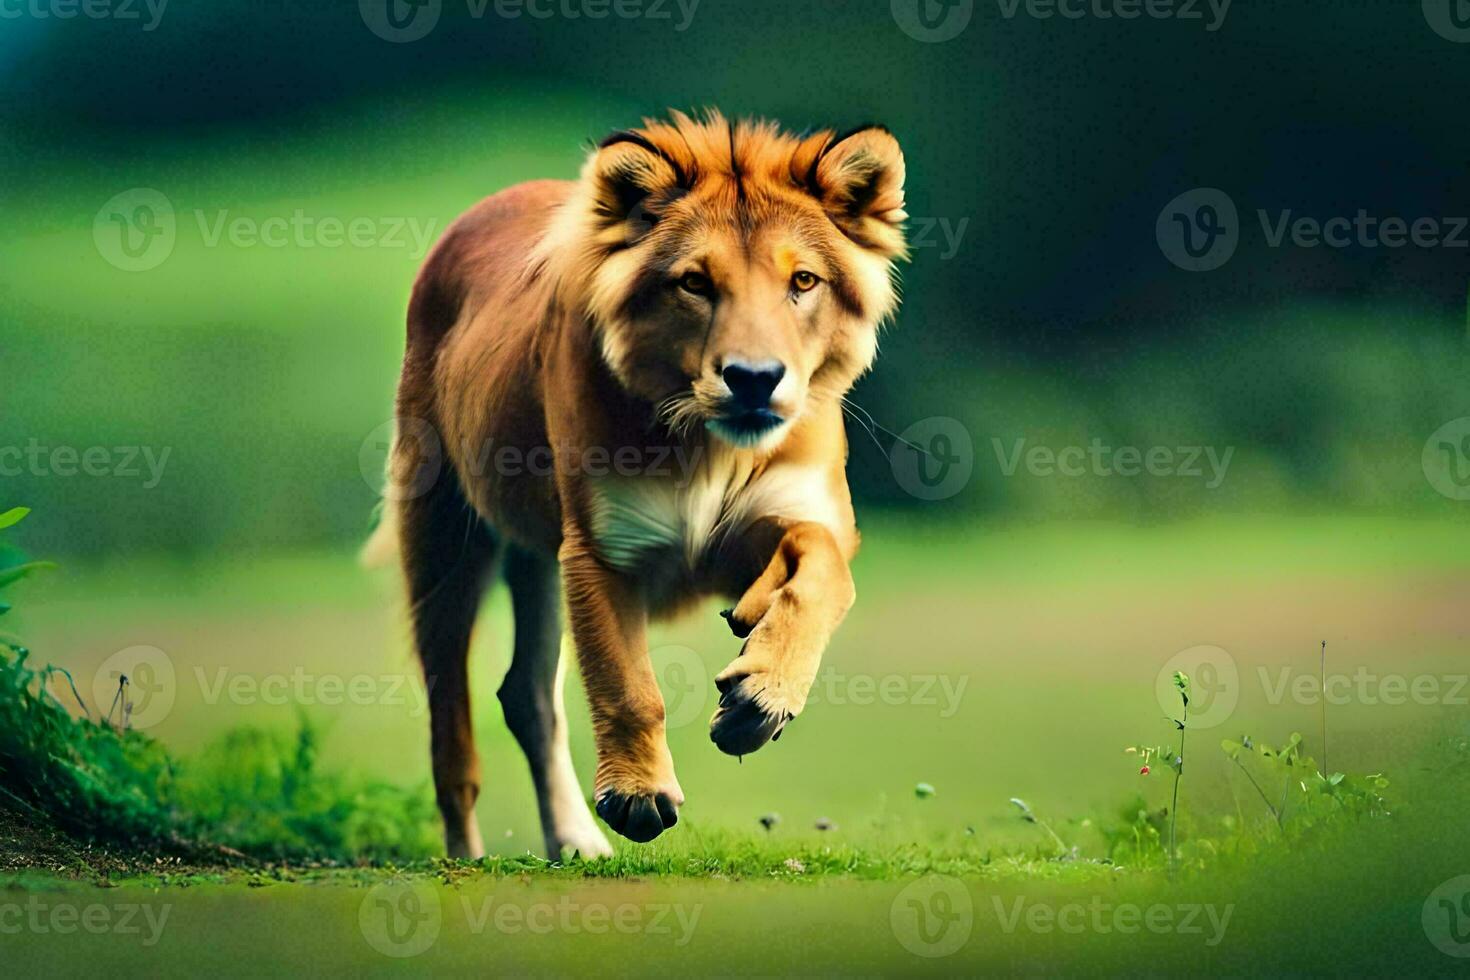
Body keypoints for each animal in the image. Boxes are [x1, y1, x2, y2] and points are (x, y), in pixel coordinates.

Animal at [376, 109, 905, 858]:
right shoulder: (602, 550)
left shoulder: (784, 520)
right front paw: (636, 798)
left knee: (525, 695)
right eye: (695, 283)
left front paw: (757, 696)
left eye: (803, 282)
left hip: (538, 560)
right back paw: (469, 857)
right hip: (446, 541)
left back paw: (574, 842)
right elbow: (627, 686)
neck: (710, 447)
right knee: (452, 726)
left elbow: (823, 572)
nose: (753, 379)